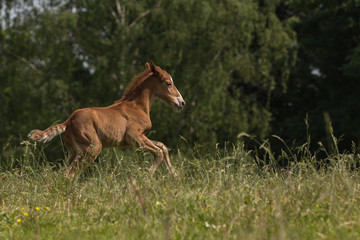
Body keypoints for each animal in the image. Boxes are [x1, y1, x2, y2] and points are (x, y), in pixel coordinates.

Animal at [28, 62, 186, 178]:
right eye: (168, 83)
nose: (182, 103)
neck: (137, 106)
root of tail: (68, 121)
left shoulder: (139, 137)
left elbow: (162, 146)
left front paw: (175, 175)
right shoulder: (133, 136)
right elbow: (158, 152)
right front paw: (146, 177)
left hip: (74, 152)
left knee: (66, 172)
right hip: (92, 148)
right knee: (70, 174)